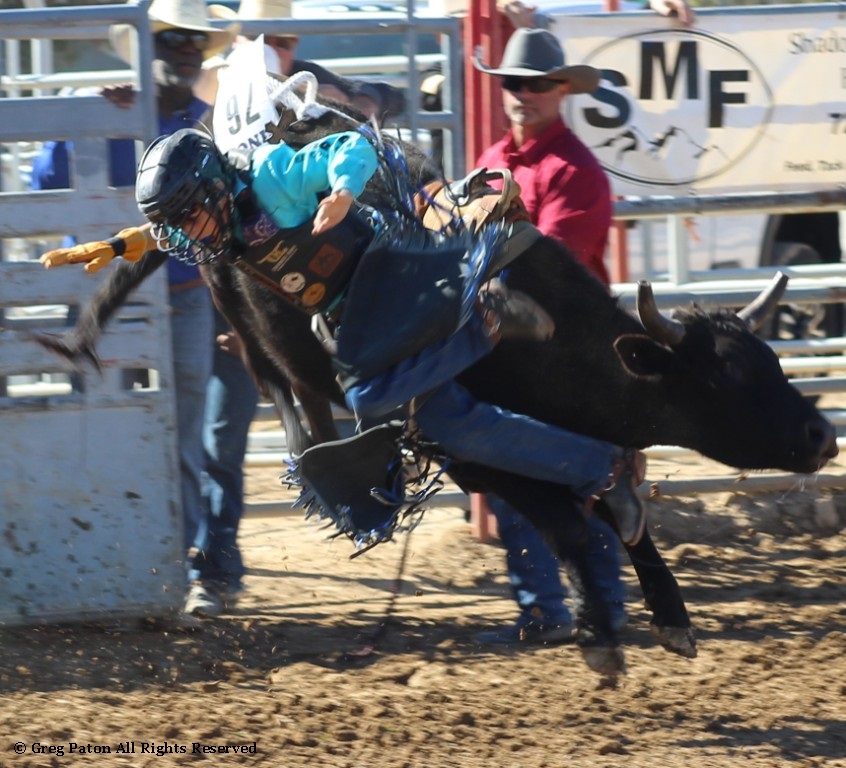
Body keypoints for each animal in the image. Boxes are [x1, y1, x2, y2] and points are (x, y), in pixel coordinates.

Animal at [36, 104, 838, 677]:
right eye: (726, 379)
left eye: (771, 362)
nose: (822, 434)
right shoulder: (471, 454)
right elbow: (570, 525)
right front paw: (601, 635)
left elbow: (615, 509)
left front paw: (669, 614)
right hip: (240, 313)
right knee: (282, 386)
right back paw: (326, 458)